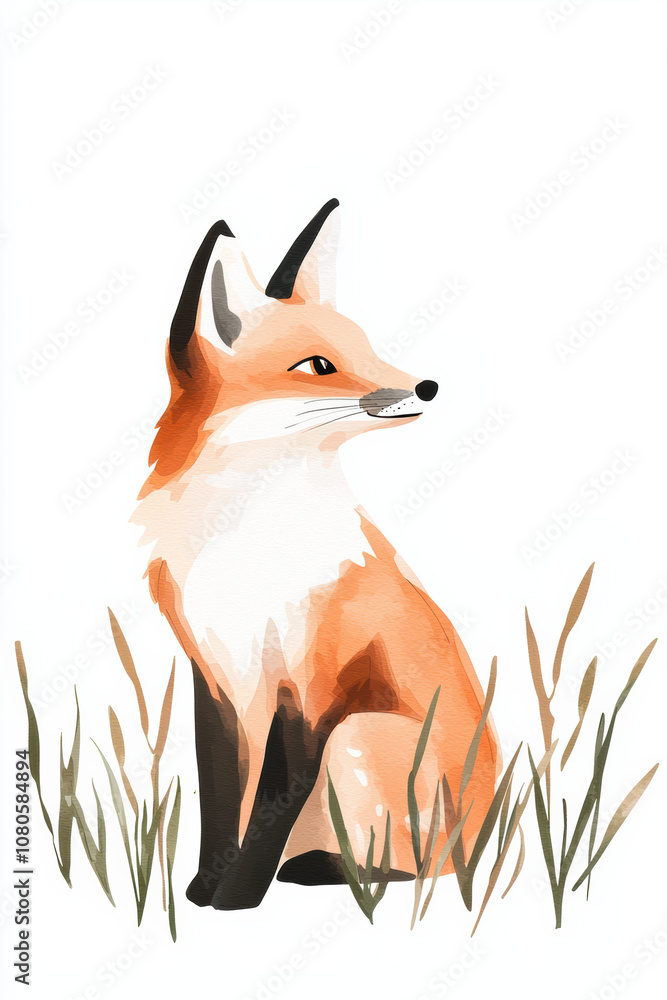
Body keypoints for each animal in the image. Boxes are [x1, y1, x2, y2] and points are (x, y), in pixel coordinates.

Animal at [133, 199, 500, 910]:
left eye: (367, 348)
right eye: (319, 365)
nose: (429, 386)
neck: (252, 546)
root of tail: (495, 835)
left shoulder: (311, 687)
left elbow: (271, 805)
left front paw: (236, 901)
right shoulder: (216, 679)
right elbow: (221, 800)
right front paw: (203, 890)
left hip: (359, 733)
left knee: (421, 869)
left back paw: (329, 872)